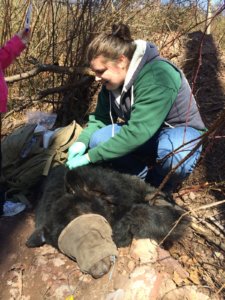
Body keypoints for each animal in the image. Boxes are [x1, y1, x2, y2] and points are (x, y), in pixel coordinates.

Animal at [25, 165, 189, 278]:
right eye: (69, 253)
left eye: (90, 226)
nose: (98, 270)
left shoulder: (117, 184)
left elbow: (147, 191)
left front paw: (178, 218)